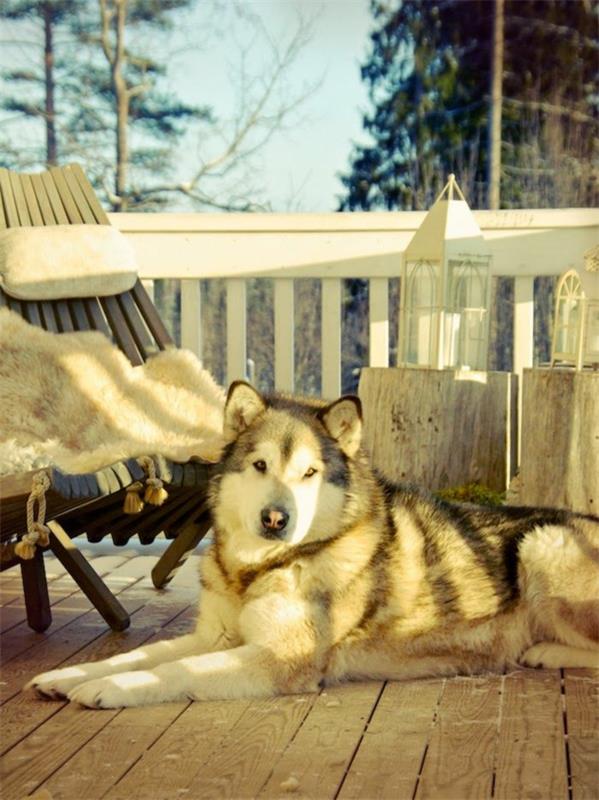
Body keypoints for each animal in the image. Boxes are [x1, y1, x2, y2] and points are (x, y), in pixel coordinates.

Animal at [27, 382, 599, 708]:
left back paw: (543, 650)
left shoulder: (280, 658)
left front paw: (108, 690)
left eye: (309, 474)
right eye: (260, 466)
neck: (261, 568)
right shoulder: (216, 636)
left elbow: (168, 670)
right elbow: (137, 654)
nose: (276, 518)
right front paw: (69, 674)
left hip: (542, 544)